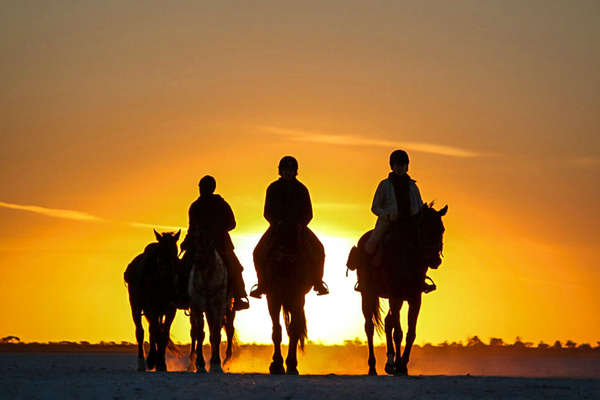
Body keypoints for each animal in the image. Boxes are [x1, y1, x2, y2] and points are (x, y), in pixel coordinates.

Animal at [125, 230, 182, 374]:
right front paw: (153, 360)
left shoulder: (170, 310)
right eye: (160, 250)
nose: (166, 271)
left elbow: (163, 334)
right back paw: (143, 362)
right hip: (136, 308)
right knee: (140, 332)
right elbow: (155, 332)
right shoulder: (151, 309)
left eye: (174, 250)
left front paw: (161, 363)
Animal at [186, 230, 236, 374]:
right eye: (194, 239)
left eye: (209, 241)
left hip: (229, 309)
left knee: (229, 329)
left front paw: (215, 363)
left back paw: (227, 358)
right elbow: (200, 334)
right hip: (207, 311)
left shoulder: (218, 307)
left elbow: (216, 335)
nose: (198, 260)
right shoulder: (197, 307)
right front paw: (200, 364)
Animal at [254, 228, 318, 376]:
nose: (285, 259)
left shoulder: (297, 296)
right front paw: (276, 365)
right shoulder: (273, 296)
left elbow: (294, 330)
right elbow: (277, 330)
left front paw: (291, 365)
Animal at [356, 203, 446, 376]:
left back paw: (389, 364)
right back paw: (373, 367)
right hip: (368, 294)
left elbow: (411, 333)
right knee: (369, 327)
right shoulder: (395, 296)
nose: (435, 260)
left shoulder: (415, 299)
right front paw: (399, 365)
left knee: (387, 322)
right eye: (423, 226)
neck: (408, 257)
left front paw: (402, 365)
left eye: (442, 229)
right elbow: (398, 333)